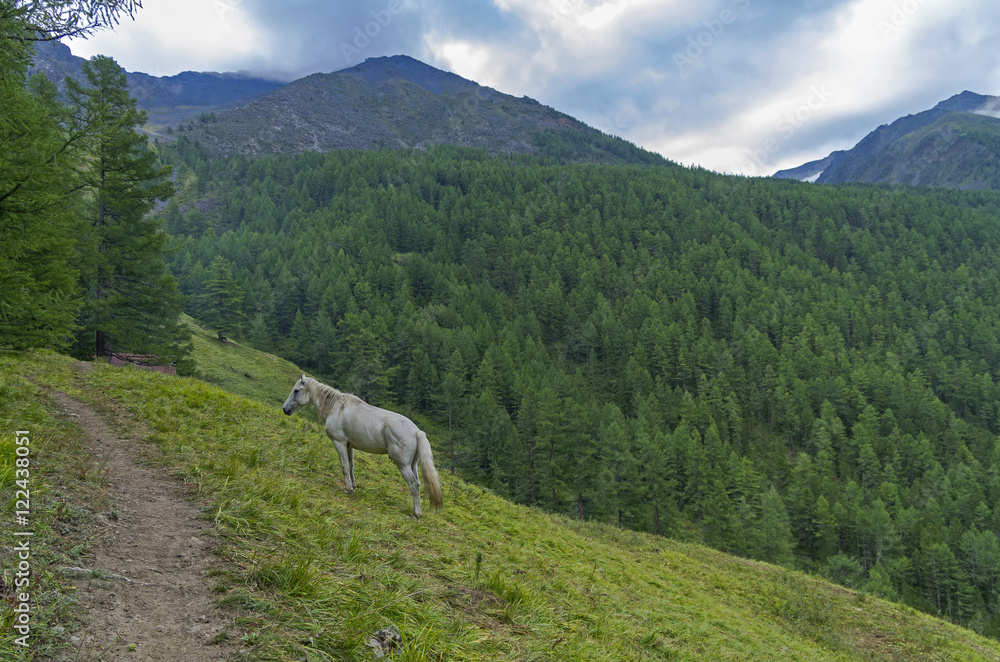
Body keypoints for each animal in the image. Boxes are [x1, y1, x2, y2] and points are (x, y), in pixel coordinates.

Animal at [280, 374, 440, 520]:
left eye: (296, 390)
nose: (285, 409)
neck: (337, 407)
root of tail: (417, 431)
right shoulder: (349, 445)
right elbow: (351, 466)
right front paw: (354, 486)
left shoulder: (339, 442)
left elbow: (344, 466)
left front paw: (348, 489)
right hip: (412, 464)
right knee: (418, 483)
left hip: (403, 465)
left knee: (413, 484)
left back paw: (415, 514)